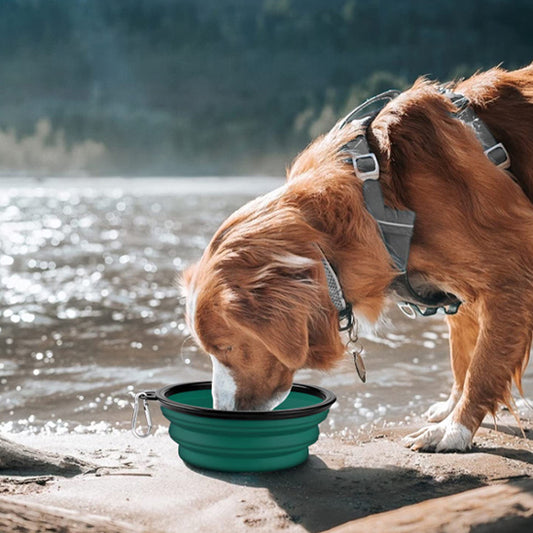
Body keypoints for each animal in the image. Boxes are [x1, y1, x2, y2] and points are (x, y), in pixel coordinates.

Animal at [183, 64, 532, 450]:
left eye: (226, 347)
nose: (221, 412)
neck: (384, 199)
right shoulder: (461, 292)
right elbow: (463, 357)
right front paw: (450, 407)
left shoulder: (510, 280)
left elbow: (482, 367)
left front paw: (454, 429)